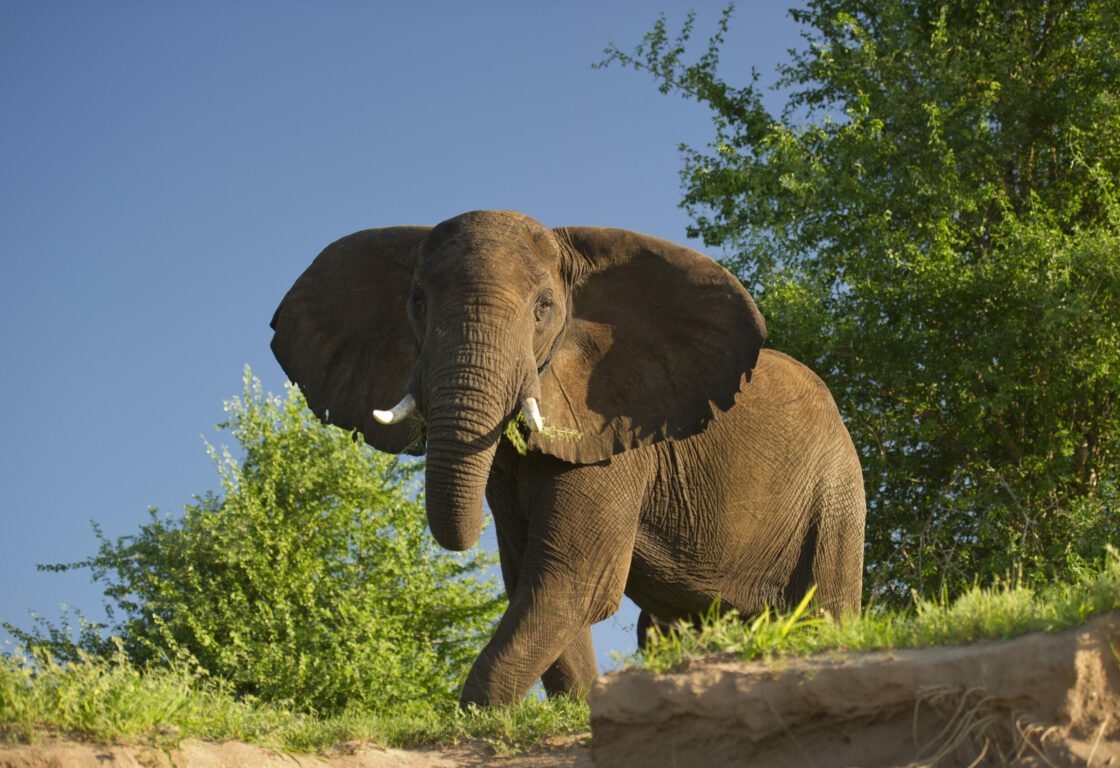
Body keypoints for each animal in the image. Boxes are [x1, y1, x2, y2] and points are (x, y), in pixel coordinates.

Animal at [269, 209, 866, 708]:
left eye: (543, 309)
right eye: (417, 301)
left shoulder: (615, 435)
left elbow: (573, 582)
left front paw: (484, 716)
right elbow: (534, 583)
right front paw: (574, 712)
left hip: (836, 492)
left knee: (825, 609)